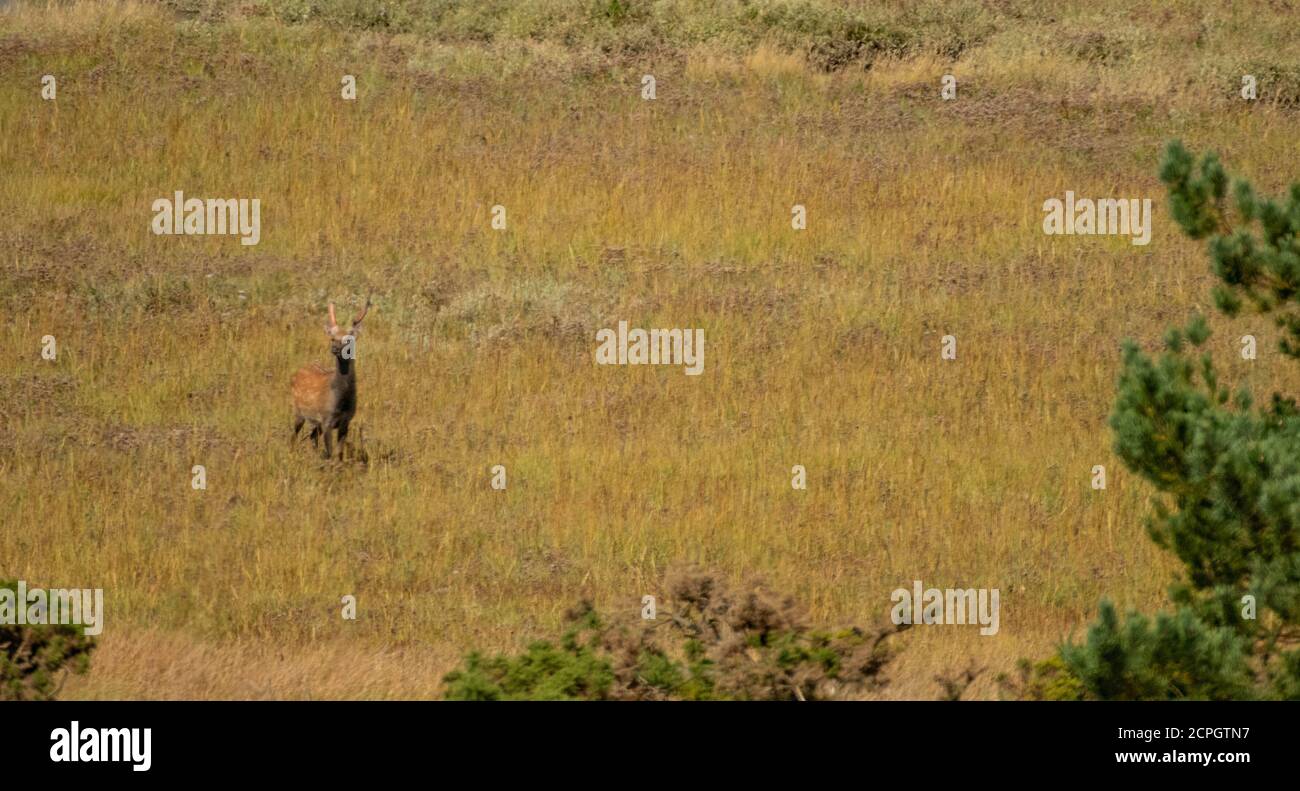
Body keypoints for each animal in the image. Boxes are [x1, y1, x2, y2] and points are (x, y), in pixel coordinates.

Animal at [292, 297, 371, 460]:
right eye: (332, 338)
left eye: (348, 340)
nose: (334, 349)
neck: (340, 401)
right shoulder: (327, 419)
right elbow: (330, 452)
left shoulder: (345, 421)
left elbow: (339, 453)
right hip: (298, 410)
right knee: (294, 435)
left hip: (316, 422)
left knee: (312, 436)